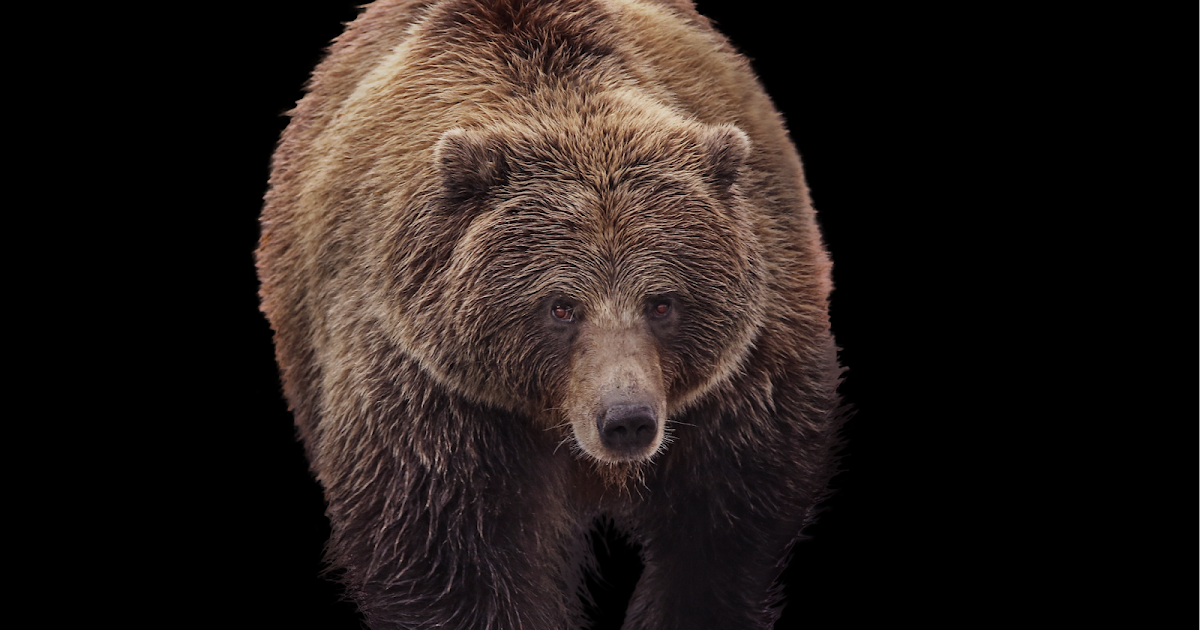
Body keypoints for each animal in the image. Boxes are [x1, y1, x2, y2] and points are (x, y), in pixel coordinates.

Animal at [256, 0, 845, 628]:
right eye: (562, 307)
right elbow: (444, 556)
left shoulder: (744, 381)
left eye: (662, 302)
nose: (626, 419)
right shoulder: (430, 390)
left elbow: (722, 533)